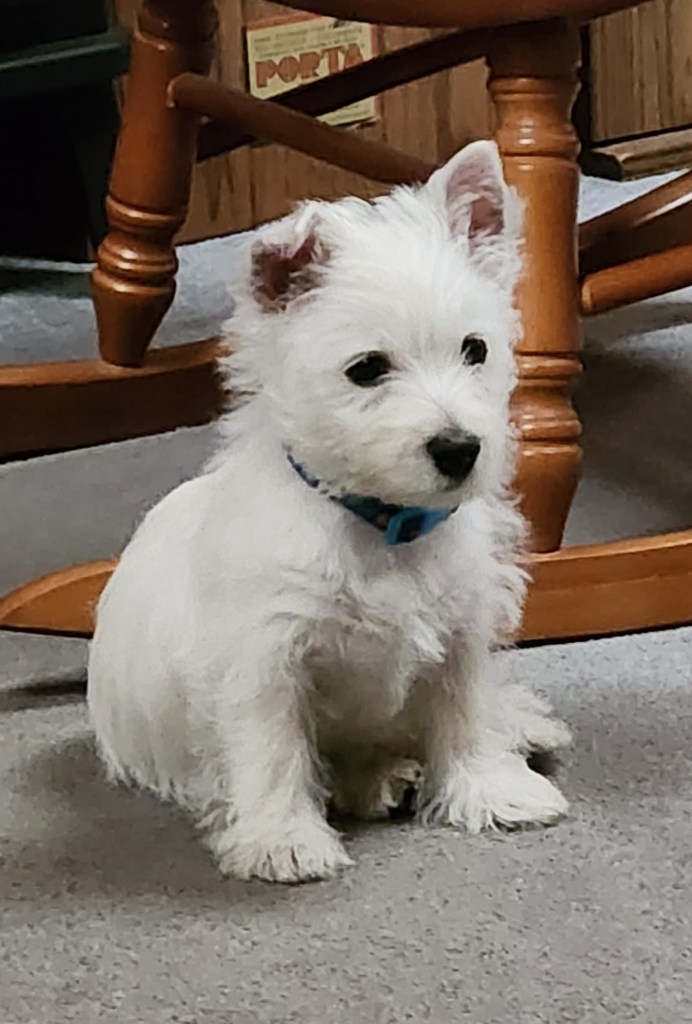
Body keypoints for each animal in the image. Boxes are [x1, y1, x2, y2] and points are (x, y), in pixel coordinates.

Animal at [88, 141, 570, 883]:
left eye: (476, 349)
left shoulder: (462, 629)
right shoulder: (265, 657)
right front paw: (282, 837)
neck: (383, 524)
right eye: (366, 369)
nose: (460, 449)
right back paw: (381, 778)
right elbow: (275, 748)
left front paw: (490, 789)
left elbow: (463, 711)